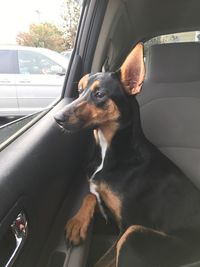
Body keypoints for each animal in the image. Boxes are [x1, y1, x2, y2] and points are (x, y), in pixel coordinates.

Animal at [54, 44, 200, 267]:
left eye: (100, 94)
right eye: (79, 91)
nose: (57, 118)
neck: (111, 149)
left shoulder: (125, 226)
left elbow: (103, 261)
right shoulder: (108, 213)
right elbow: (90, 194)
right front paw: (77, 223)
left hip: (136, 237)